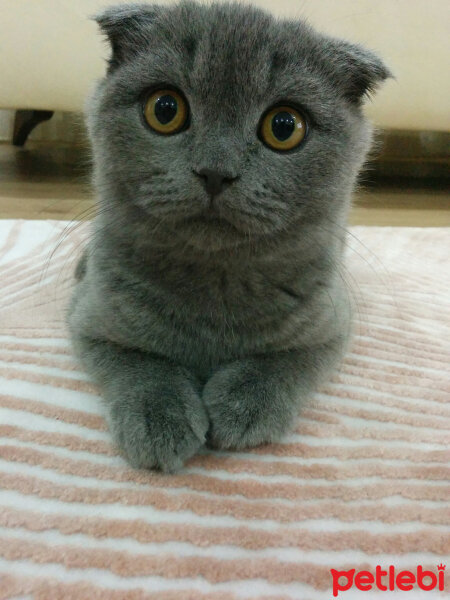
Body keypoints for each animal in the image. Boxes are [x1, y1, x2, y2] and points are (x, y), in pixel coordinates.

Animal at [67, 1, 390, 474]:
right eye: (165, 109)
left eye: (284, 126)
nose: (215, 171)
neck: (215, 286)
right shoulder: (91, 320)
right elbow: (138, 361)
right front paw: (159, 419)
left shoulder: (333, 324)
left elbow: (288, 362)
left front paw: (244, 406)